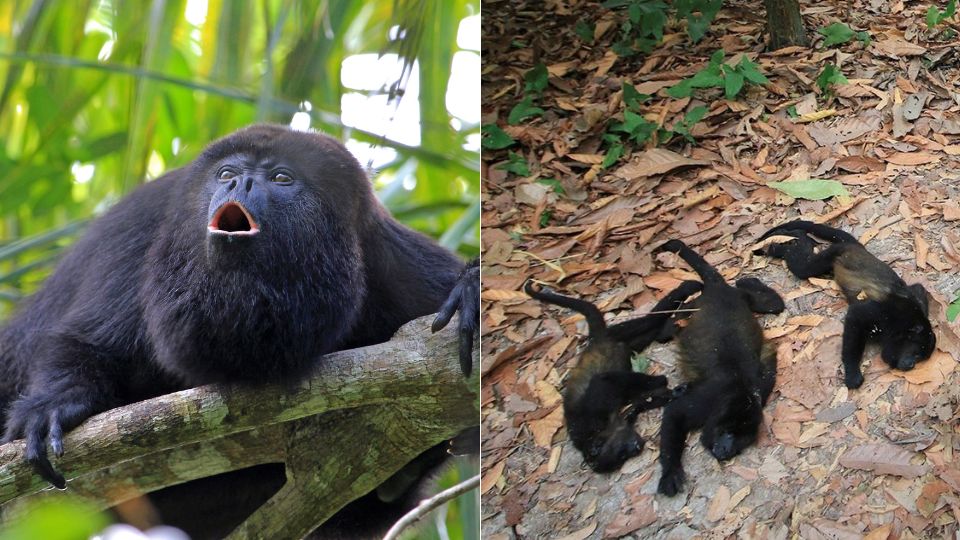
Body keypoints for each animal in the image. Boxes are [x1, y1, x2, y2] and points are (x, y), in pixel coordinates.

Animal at [0, 123, 480, 540]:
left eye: (282, 177)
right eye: (227, 173)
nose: (241, 185)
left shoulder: (386, 257)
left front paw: (472, 289)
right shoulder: (144, 227)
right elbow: (89, 341)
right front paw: (57, 403)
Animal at [524, 278, 704, 472]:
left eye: (621, 453)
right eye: (622, 458)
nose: (637, 447)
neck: (599, 431)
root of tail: (594, 340)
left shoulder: (593, 411)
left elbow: (604, 380)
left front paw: (661, 380)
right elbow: (643, 401)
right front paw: (674, 393)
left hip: (616, 333)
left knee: (648, 321)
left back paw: (687, 292)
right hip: (626, 342)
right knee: (654, 332)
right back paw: (673, 323)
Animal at [656, 240, 784, 498]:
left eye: (741, 440)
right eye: (728, 432)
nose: (726, 450)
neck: (738, 392)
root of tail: (720, 289)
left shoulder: (760, 387)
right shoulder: (708, 399)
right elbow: (674, 413)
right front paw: (670, 472)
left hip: (741, 297)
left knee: (773, 304)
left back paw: (750, 282)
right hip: (698, 305)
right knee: (674, 322)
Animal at [752, 218, 932, 388]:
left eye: (920, 358)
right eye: (917, 354)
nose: (911, 365)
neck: (903, 322)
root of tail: (856, 247)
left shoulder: (913, 299)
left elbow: (918, 288)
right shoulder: (882, 312)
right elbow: (855, 318)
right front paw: (853, 374)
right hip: (833, 253)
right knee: (803, 266)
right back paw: (787, 243)